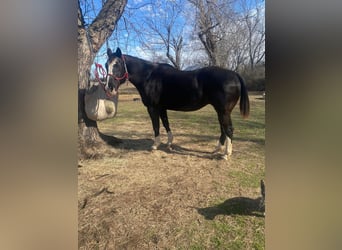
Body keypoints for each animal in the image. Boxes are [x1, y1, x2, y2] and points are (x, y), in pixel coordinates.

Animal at [105, 47, 250, 159]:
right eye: (106, 65)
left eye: (117, 64)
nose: (109, 87)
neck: (149, 76)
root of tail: (235, 75)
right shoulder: (162, 108)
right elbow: (165, 124)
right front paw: (169, 143)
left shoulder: (152, 108)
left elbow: (156, 126)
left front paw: (155, 145)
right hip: (220, 110)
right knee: (223, 129)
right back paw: (217, 149)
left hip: (223, 111)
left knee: (228, 129)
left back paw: (225, 154)